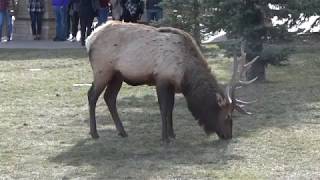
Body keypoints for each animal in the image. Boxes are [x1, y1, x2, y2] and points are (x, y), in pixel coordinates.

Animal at [85, 20, 258, 142]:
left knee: (109, 98)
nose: (229, 136)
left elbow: (171, 108)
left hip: (117, 76)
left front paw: (172, 134)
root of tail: (90, 39)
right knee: (92, 95)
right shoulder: (161, 79)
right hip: (102, 70)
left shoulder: (173, 85)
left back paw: (122, 131)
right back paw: (94, 133)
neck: (186, 74)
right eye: (228, 116)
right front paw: (164, 137)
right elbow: (163, 108)